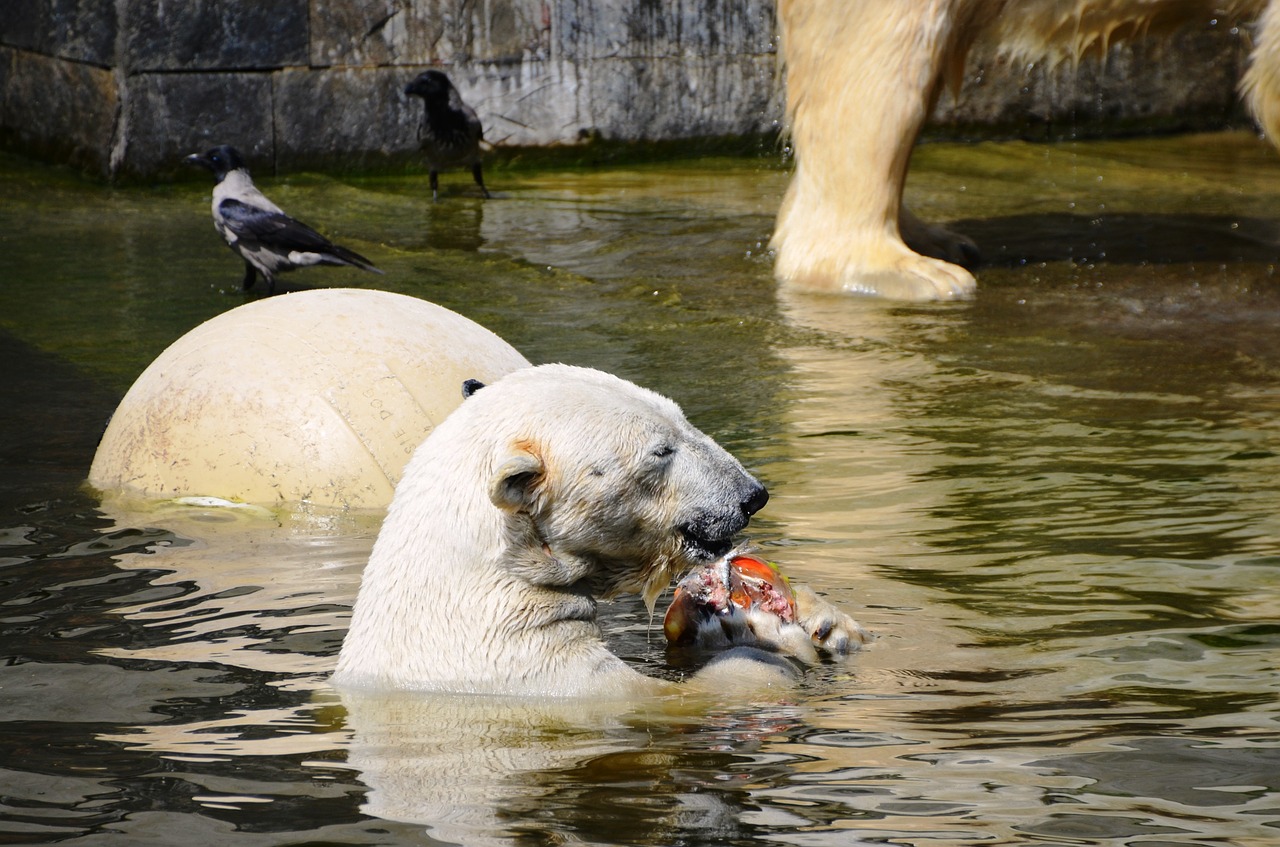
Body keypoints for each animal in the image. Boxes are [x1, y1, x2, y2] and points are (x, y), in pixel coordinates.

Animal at [332, 365, 870, 696]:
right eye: (661, 450)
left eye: (682, 418)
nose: (751, 495)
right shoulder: (541, 676)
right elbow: (692, 696)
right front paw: (754, 631)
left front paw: (825, 618)